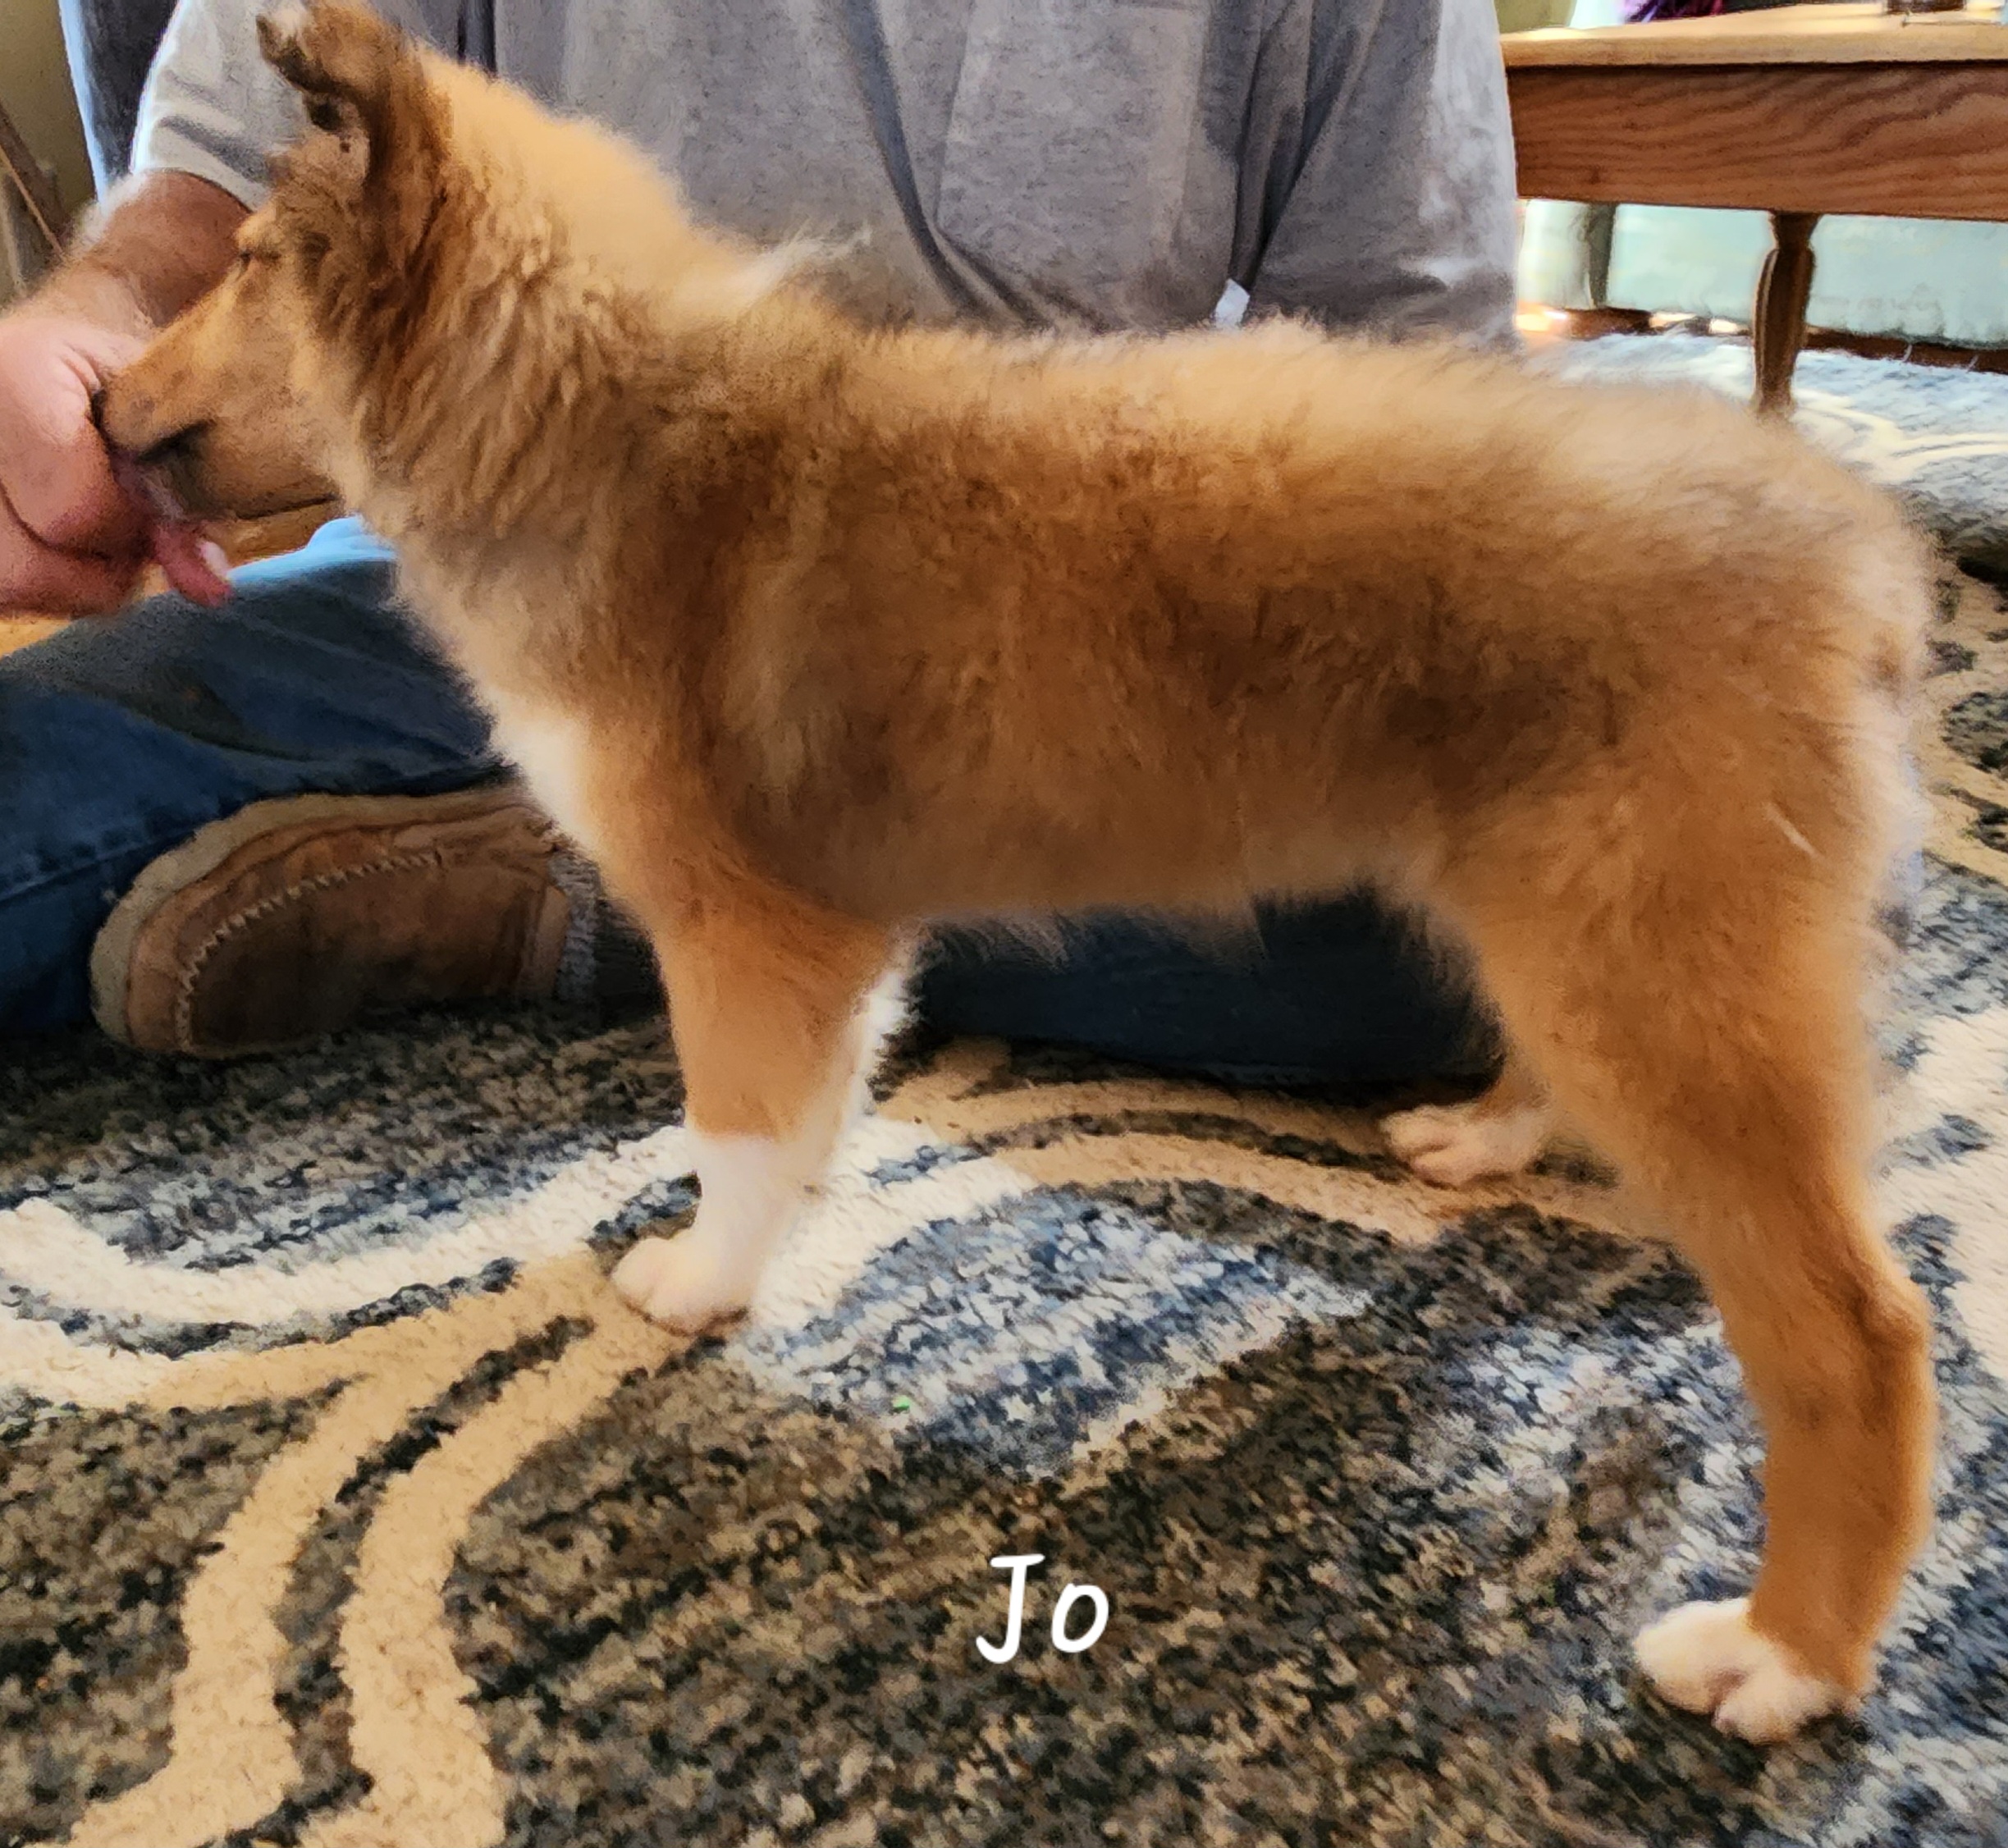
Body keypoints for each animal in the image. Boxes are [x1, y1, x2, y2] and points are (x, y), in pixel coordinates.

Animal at [99, 0, 1938, 1745]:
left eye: (249, 270)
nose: (99, 413)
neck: (594, 418)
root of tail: (1849, 550)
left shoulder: (742, 921)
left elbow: (733, 1124)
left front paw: (698, 1280)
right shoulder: (831, 931)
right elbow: (810, 1110)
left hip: (1657, 972)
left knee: (1856, 1343)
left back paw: (1781, 1657)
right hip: (1561, 930)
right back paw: (1483, 1137)